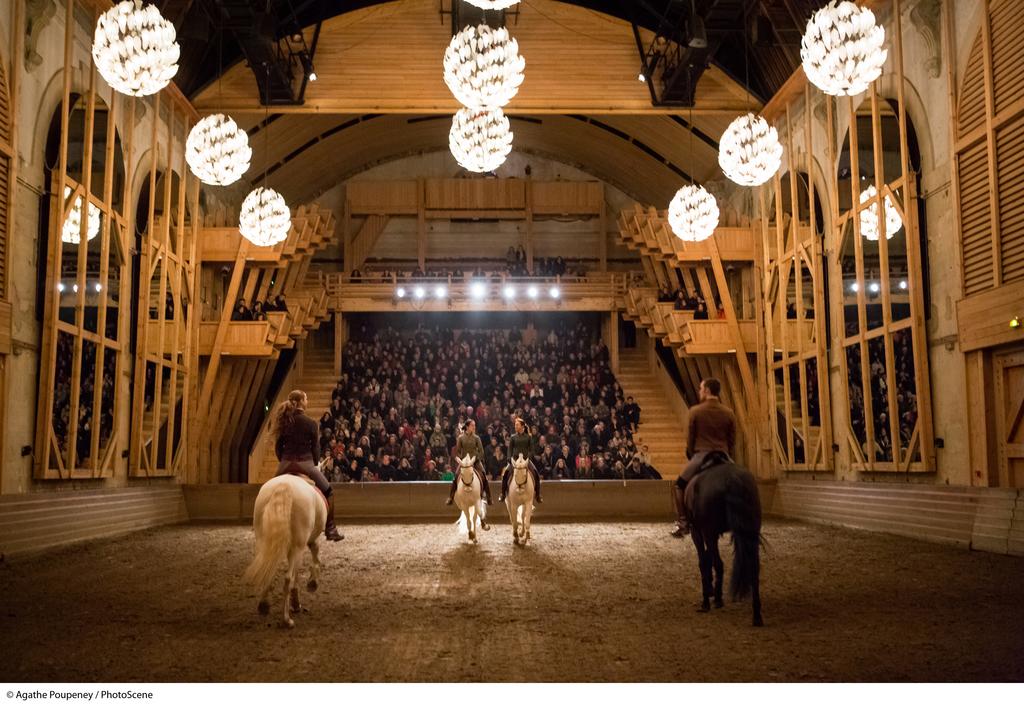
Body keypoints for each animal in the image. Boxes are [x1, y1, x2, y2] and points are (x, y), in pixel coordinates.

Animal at [242, 473, 327, 628]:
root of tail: (284, 484)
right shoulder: (305, 544)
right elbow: (312, 559)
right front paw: (310, 585)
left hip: (263, 542)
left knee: (267, 571)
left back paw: (264, 605)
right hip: (297, 547)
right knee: (287, 579)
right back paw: (287, 619)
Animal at [683, 452, 764, 627]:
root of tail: (731, 479)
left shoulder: (698, 532)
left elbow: (704, 562)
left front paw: (709, 593)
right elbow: (707, 559)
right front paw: (710, 590)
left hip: (708, 533)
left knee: (718, 563)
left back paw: (713, 601)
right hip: (751, 532)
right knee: (753, 568)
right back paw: (756, 615)